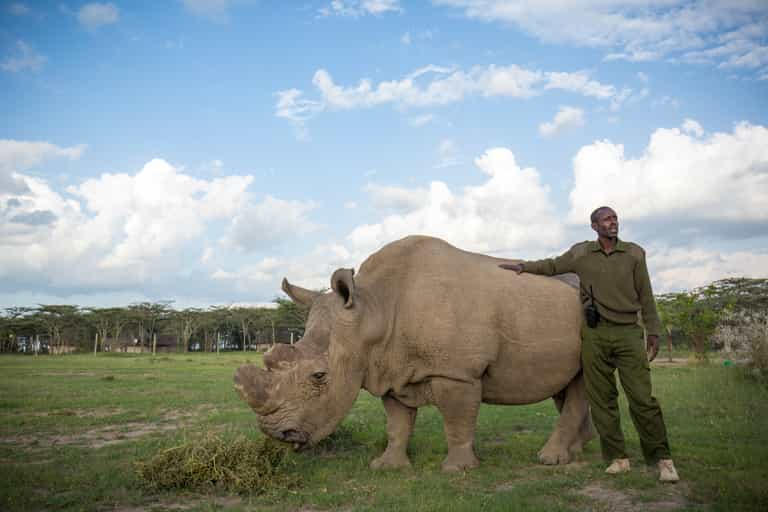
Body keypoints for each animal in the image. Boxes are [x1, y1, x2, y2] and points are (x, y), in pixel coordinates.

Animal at [234, 235, 592, 471]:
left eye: (320, 376)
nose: (276, 433)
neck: (372, 310)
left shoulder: (457, 372)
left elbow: (457, 421)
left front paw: (457, 470)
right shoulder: (388, 369)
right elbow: (397, 425)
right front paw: (387, 466)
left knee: (581, 382)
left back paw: (550, 459)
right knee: (566, 384)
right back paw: (577, 451)